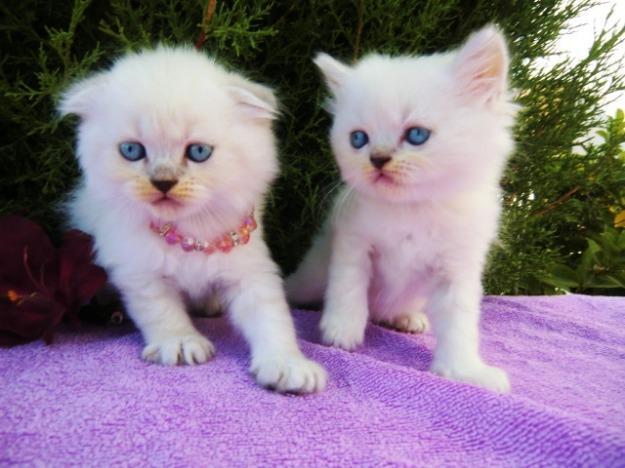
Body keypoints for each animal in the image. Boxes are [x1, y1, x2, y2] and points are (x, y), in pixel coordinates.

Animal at [59, 46, 326, 394]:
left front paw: (287, 364)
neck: (191, 231)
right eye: (131, 150)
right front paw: (180, 342)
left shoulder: (251, 269)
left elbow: (273, 318)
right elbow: (161, 311)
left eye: (199, 152)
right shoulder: (137, 270)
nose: (163, 182)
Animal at [286, 25, 516, 392]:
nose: (377, 159)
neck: (411, 209)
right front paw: (341, 332)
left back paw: (406, 317)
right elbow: (348, 287)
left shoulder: (457, 269)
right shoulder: (352, 242)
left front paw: (464, 370)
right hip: (312, 273)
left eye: (417, 135)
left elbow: (459, 325)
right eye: (358, 139)